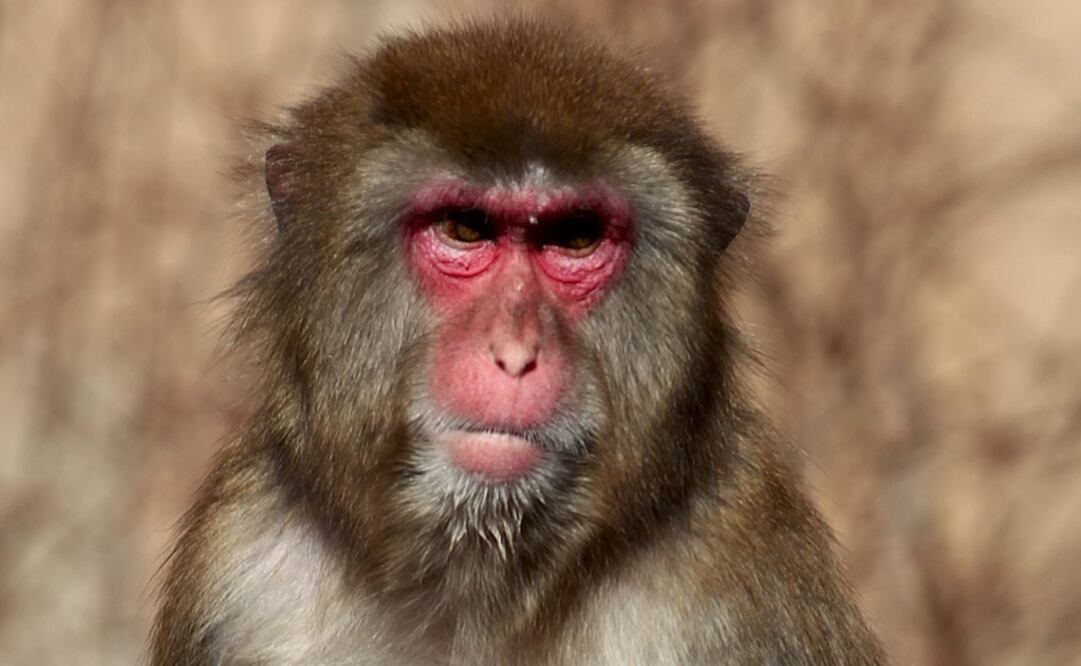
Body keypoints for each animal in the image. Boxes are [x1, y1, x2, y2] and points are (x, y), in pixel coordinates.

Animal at [151, 19, 887, 666]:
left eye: (577, 238)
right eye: (464, 228)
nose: (515, 353)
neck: (481, 588)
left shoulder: (748, 570)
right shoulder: (239, 567)